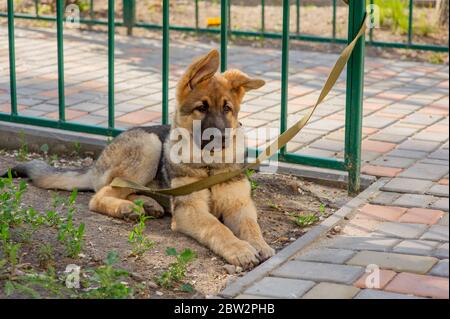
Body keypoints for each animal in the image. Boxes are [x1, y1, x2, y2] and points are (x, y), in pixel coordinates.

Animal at [7, 50, 274, 268]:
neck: (209, 167)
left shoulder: (240, 205)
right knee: (99, 196)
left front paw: (260, 245)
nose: (221, 139)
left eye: (227, 109)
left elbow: (251, 226)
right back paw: (127, 207)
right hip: (149, 146)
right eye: (202, 108)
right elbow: (217, 228)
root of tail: (97, 163)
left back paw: (145, 203)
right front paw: (239, 249)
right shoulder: (190, 211)